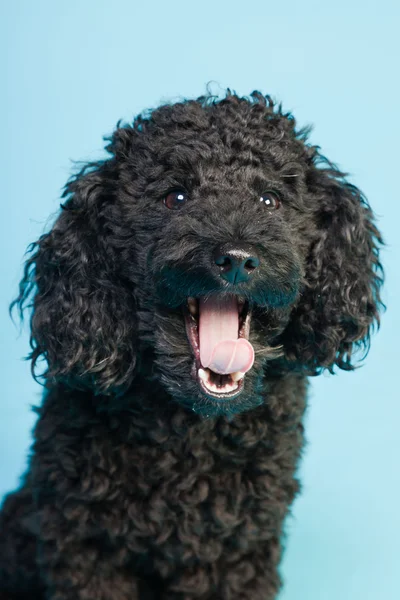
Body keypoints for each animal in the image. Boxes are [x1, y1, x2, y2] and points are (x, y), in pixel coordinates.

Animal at [0, 90, 382, 600]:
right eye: (175, 197)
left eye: (270, 200)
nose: (237, 259)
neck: (190, 436)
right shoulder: (86, 547)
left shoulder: (240, 550)